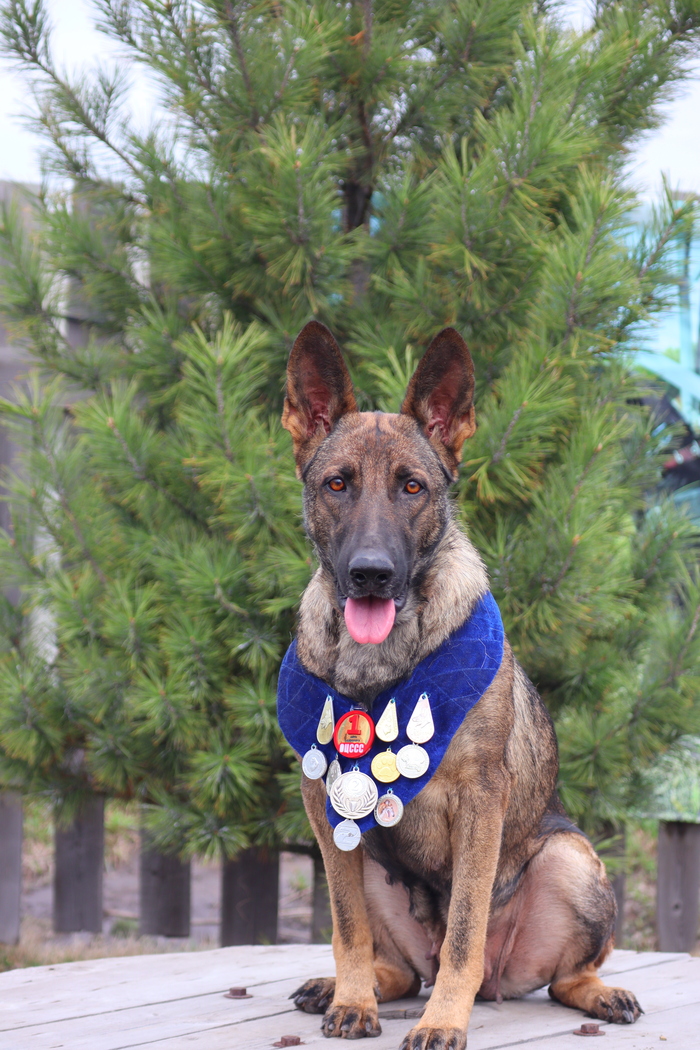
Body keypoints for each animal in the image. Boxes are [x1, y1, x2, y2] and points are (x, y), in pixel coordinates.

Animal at [280, 321, 641, 1049]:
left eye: (413, 488)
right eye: (337, 484)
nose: (371, 574)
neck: (383, 666)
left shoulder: (481, 798)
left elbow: (464, 932)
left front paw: (444, 1019)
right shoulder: (323, 806)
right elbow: (347, 928)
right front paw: (352, 1001)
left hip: (568, 858)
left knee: (560, 974)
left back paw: (593, 992)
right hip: (367, 860)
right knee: (393, 965)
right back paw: (348, 987)